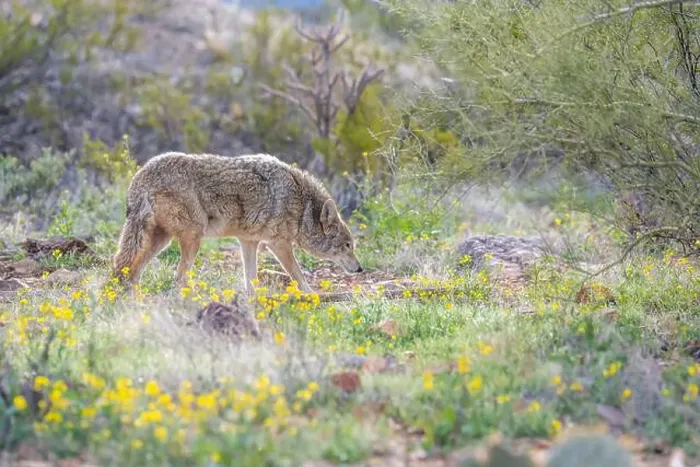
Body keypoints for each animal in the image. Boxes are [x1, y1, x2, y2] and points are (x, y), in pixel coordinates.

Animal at [112, 152, 363, 294]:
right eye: (347, 246)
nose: (360, 269)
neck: (302, 206)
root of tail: (140, 177)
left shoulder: (248, 242)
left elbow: (250, 280)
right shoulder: (278, 244)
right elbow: (298, 274)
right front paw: (312, 295)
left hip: (160, 241)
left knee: (129, 271)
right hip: (192, 240)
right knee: (177, 279)